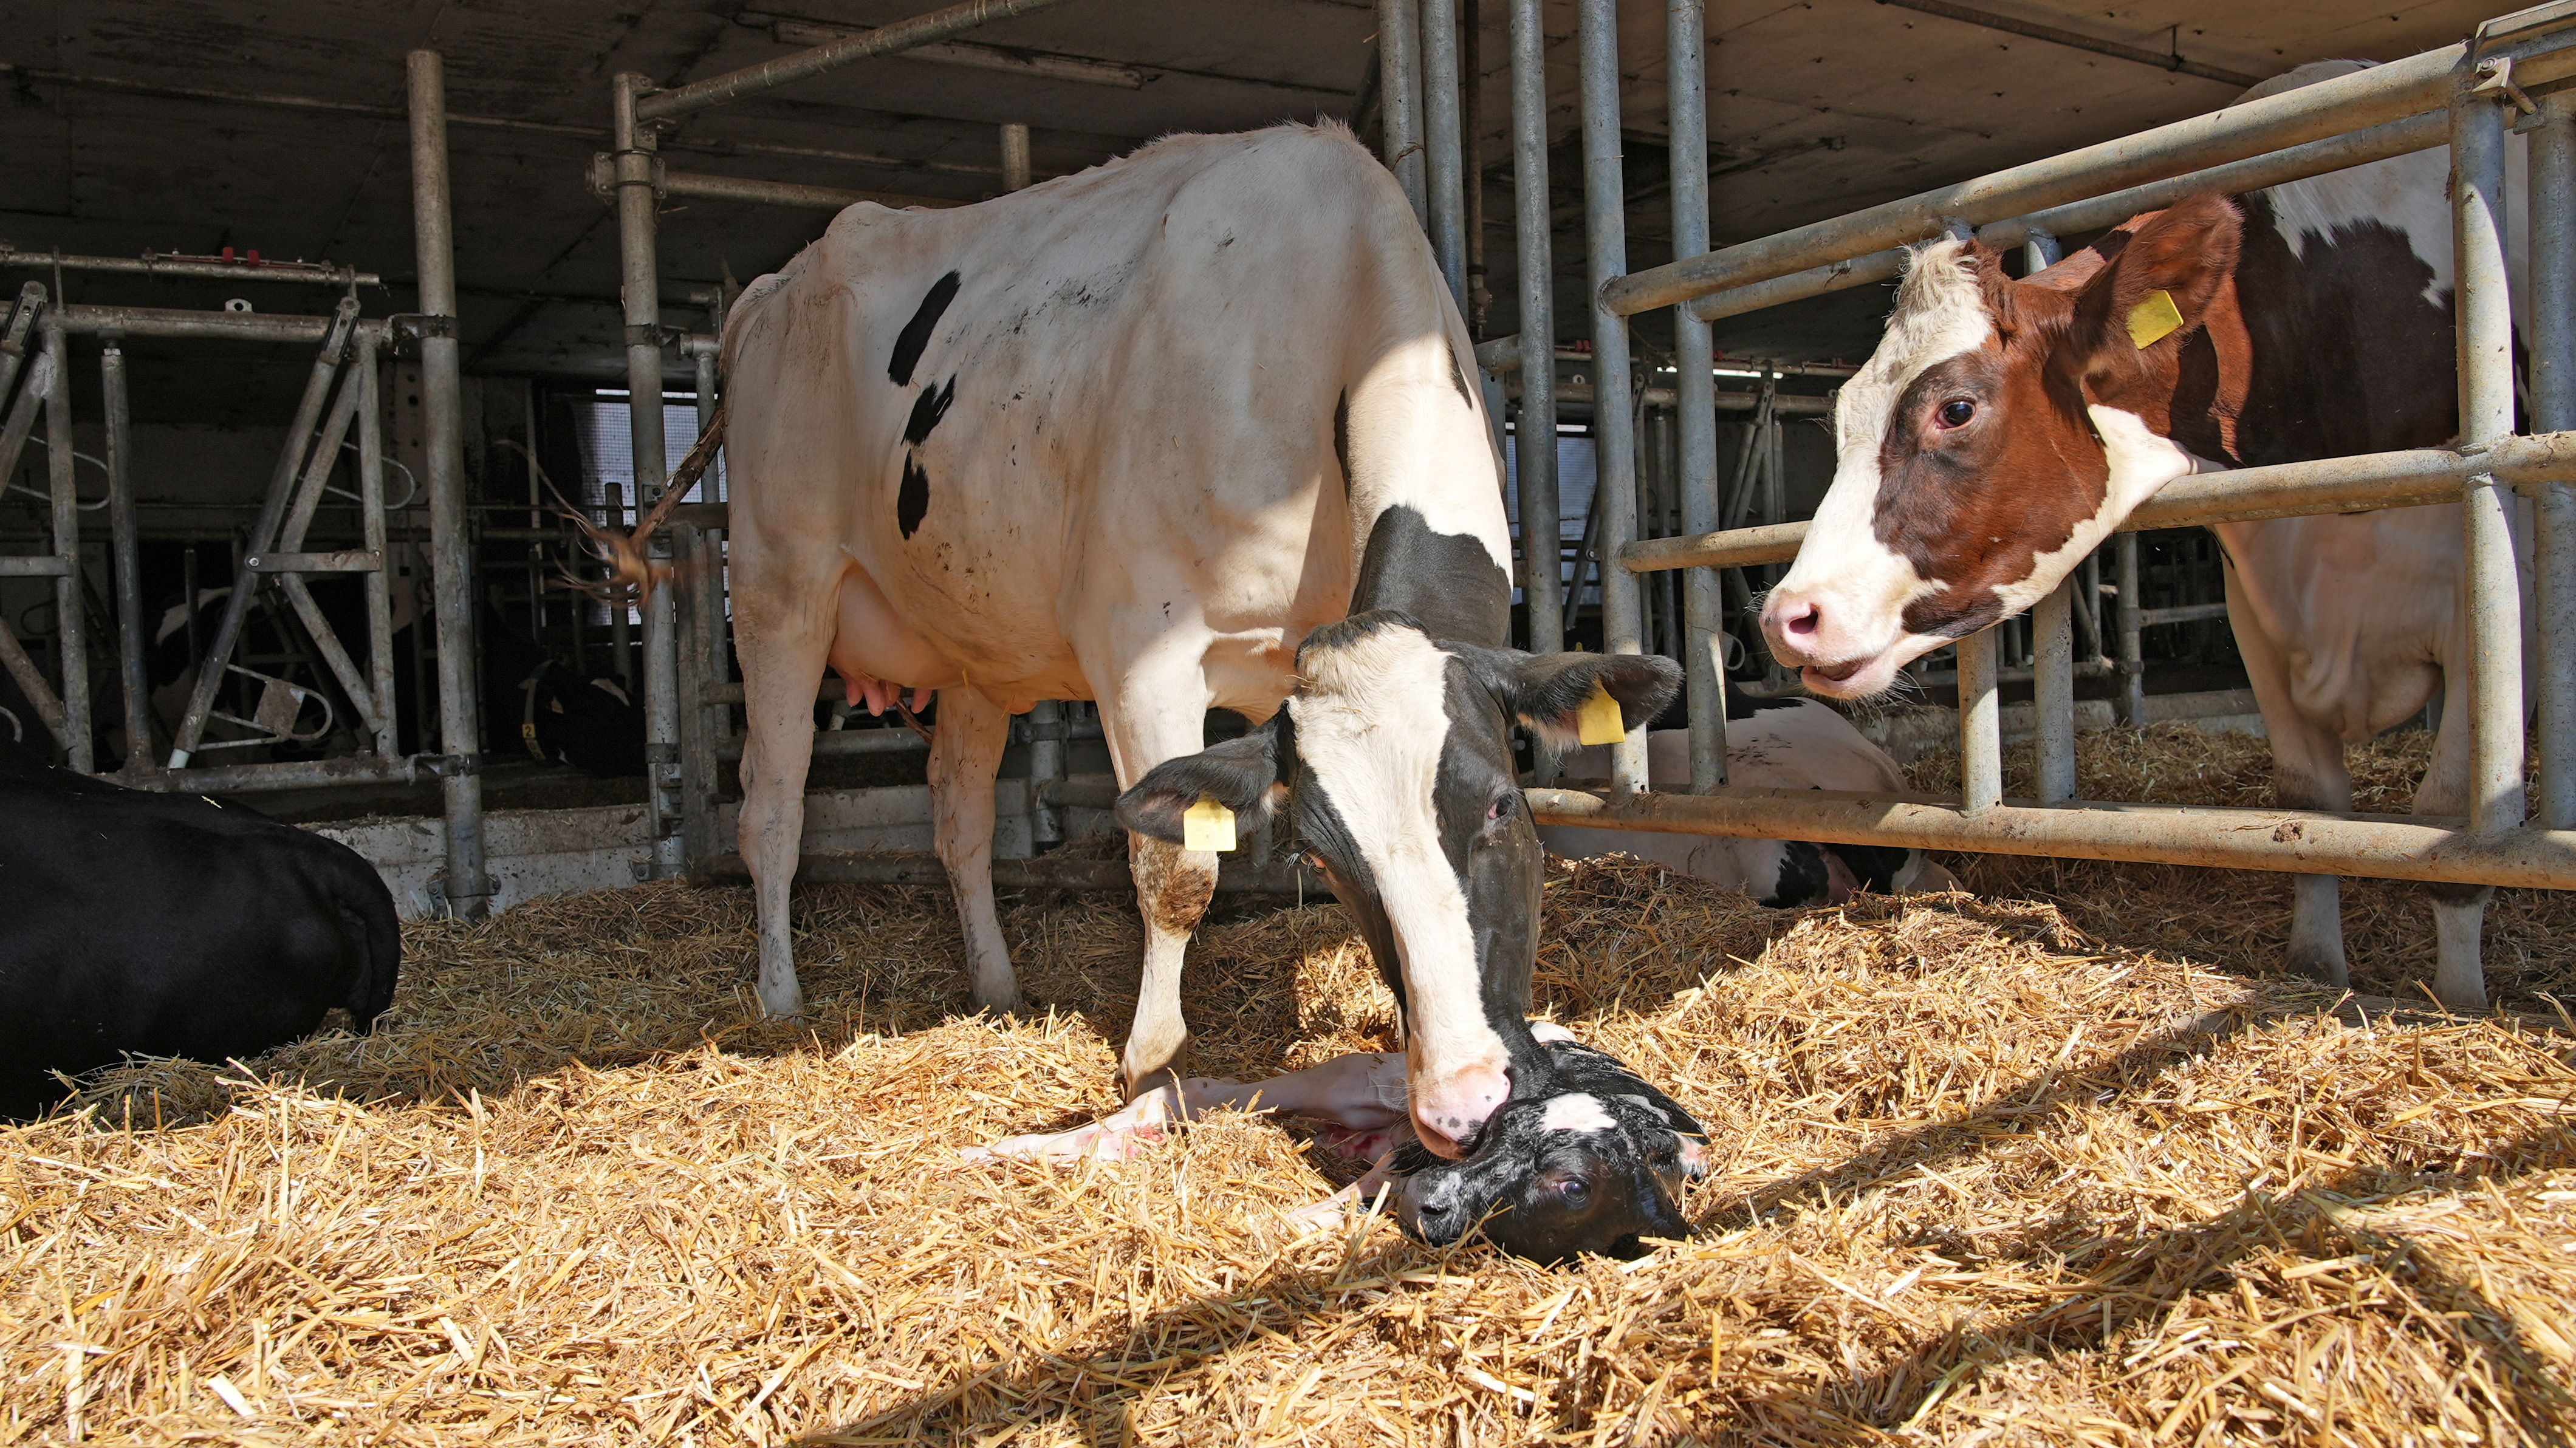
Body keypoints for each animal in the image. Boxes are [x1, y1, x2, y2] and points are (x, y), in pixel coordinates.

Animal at [711, 123, 1678, 1157]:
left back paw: (997, 985)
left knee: (958, 817)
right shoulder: (1142, 650)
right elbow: (1174, 869)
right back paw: (779, 997)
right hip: (778, 589)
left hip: (976, 646)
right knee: (771, 811)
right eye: (1324, 858)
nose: (1469, 1098)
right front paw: (1153, 1061)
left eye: (1502, 804)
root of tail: (778, 285)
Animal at [969, 1022, 1708, 1264]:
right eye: (1497, 1129)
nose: (1433, 1197)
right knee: (1189, 1091)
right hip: (1353, 1080)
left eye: (1573, 1185)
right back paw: (1000, 1152)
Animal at [1757, 61, 2523, 1011]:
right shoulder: (2258, 606)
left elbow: (2449, 823)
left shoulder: (2492, 592)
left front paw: (2460, 1001)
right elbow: (2310, 810)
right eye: (1840, 413)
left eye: (1956, 408)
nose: (1788, 617)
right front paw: (2318, 972)